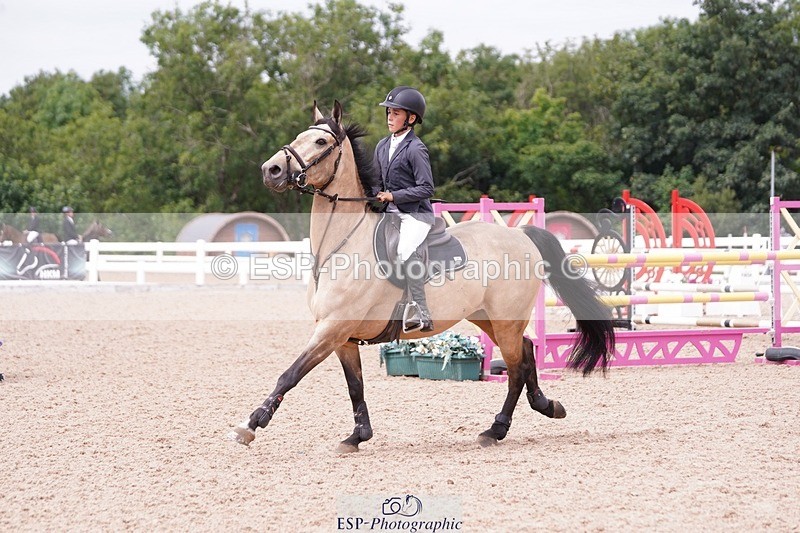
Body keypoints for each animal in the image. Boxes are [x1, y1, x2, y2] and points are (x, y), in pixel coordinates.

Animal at [228, 101, 615, 451]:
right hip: (487, 318)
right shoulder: (342, 337)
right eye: (299, 136)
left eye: (321, 142)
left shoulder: (332, 328)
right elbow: (355, 386)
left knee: (517, 367)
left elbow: (290, 374)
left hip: (505, 319)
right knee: (526, 351)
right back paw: (546, 406)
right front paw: (357, 436)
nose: (271, 170)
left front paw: (250, 424)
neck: (341, 245)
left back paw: (496, 430)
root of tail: (520, 235)